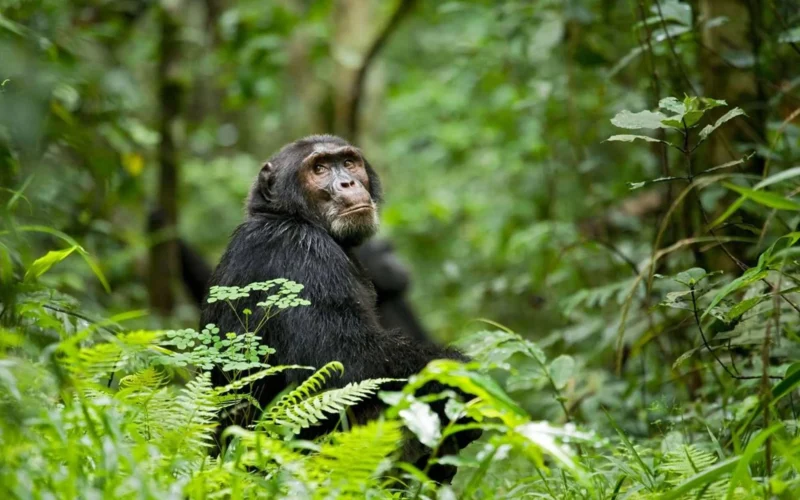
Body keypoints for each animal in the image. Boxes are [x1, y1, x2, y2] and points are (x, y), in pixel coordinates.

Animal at [200, 135, 478, 482]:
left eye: (348, 163)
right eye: (319, 169)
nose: (347, 182)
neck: (292, 217)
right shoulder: (303, 257)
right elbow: (346, 360)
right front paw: (463, 377)